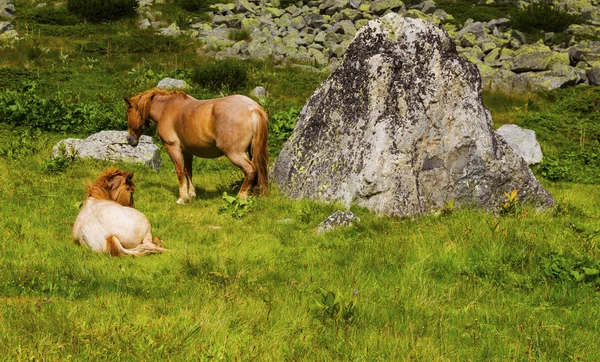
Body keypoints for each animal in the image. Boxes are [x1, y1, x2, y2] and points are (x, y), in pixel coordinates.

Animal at [124, 88, 268, 204]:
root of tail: (253, 108)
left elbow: (180, 171)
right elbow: (188, 171)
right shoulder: (188, 151)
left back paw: (240, 197)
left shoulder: (173, 147)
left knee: (250, 170)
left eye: (128, 113)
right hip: (251, 152)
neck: (166, 108)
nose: (129, 139)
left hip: (234, 153)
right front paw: (192, 195)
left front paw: (182, 198)